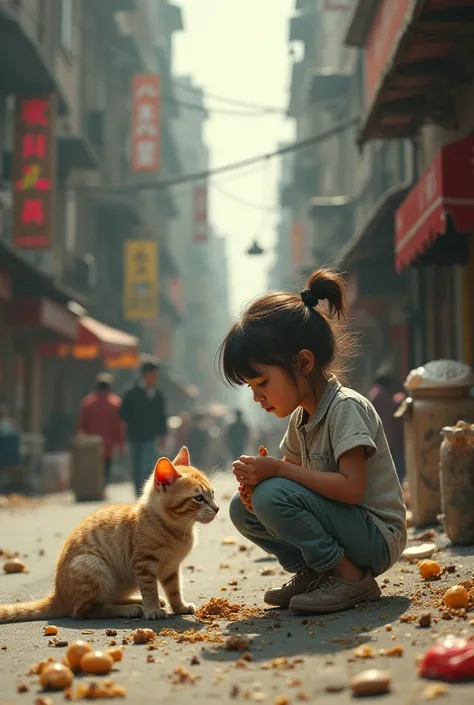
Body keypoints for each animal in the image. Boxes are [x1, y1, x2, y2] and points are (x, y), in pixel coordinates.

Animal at [0, 446, 218, 620]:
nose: (217, 508)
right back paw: (130, 609)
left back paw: (136, 601)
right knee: (86, 611)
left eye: (213, 494)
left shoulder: (171, 568)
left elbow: (174, 590)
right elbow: (149, 589)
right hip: (94, 567)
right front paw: (152, 609)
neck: (177, 528)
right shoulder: (144, 565)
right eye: (198, 498)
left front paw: (179, 607)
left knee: (110, 599)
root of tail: (58, 595)